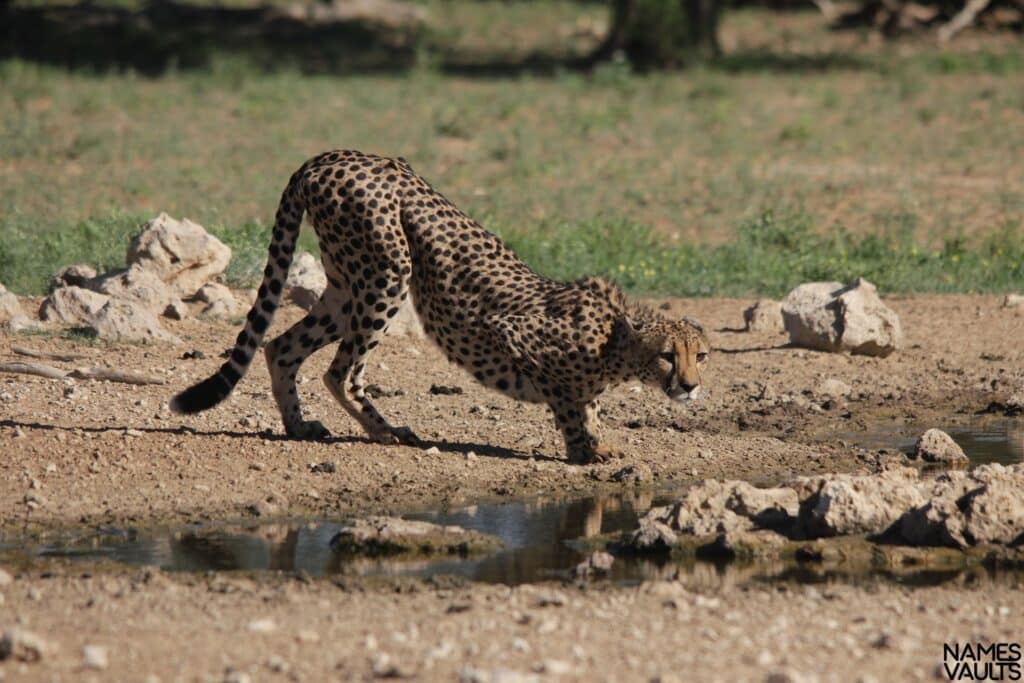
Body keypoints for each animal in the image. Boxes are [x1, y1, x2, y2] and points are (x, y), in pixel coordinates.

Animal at [169, 149, 712, 464]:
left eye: (701, 356)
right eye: (669, 355)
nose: (690, 386)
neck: (616, 343)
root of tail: (330, 156)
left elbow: (590, 404)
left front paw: (600, 439)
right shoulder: (515, 334)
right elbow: (570, 402)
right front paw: (584, 448)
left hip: (347, 286)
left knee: (281, 346)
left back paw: (300, 426)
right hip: (388, 273)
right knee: (342, 372)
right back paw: (389, 431)